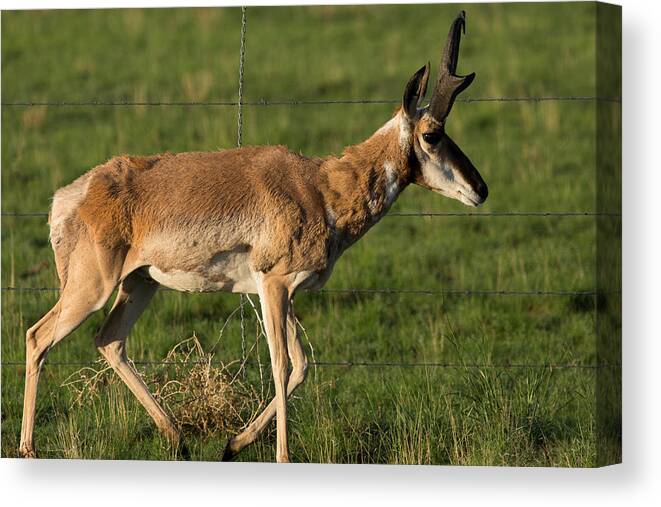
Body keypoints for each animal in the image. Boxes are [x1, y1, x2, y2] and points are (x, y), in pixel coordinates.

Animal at [19, 12, 484, 464]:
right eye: (432, 134)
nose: (481, 189)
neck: (319, 187)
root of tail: (72, 194)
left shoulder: (284, 292)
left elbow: (302, 364)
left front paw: (233, 444)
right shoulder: (272, 284)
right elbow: (281, 365)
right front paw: (282, 457)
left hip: (140, 284)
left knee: (109, 340)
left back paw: (178, 439)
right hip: (92, 288)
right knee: (38, 336)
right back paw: (29, 447)